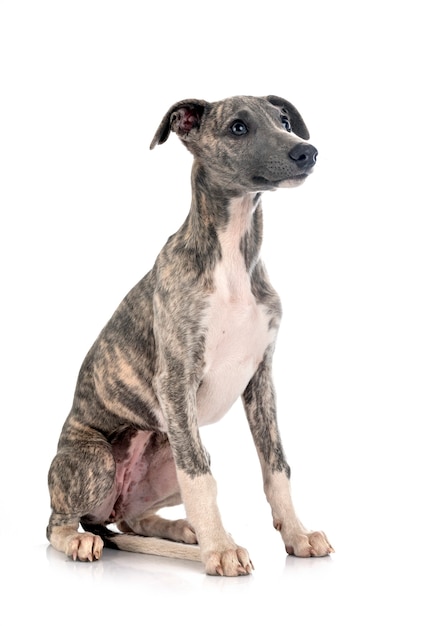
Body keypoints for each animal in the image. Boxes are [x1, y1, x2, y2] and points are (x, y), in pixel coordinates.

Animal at [47, 94, 332, 576]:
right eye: (238, 127)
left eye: (285, 121)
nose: (306, 152)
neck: (233, 258)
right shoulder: (177, 379)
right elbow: (201, 477)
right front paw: (220, 550)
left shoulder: (261, 379)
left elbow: (276, 467)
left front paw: (296, 534)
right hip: (99, 455)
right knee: (59, 524)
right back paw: (82, 541)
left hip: (163, 451)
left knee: (133, 519)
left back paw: (182, 529)